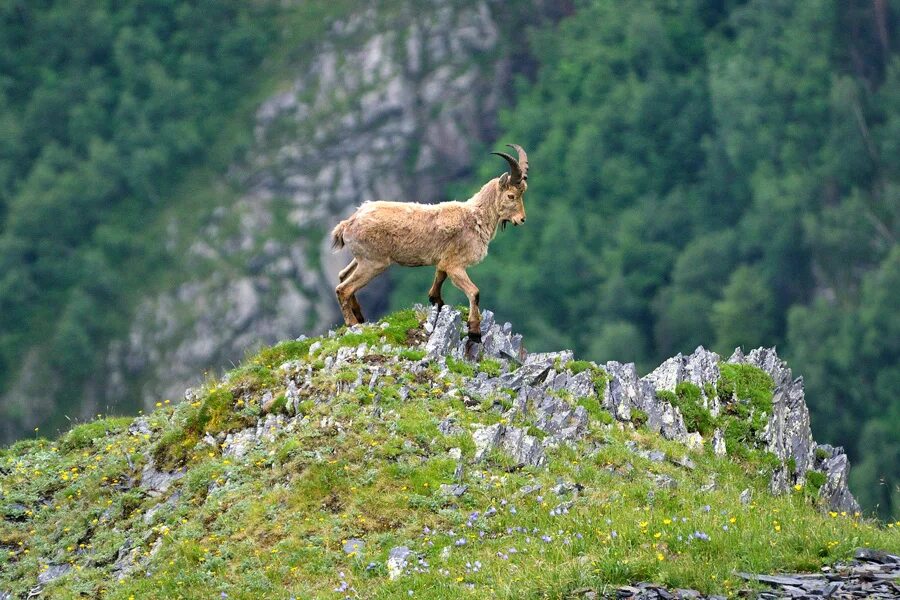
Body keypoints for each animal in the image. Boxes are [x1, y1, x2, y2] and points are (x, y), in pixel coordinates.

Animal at [330, 143, 528, 344]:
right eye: (511, 195)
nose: (521, 219)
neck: (476, 218)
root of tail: (348, 223)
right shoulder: (456, 265)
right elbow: (474, 292)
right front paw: (474, 331)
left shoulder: (444, 260)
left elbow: (439, 277)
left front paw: (436, 300)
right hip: (373, 262)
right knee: (343, 289)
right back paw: (352, 323)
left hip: (361, 259)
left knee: (342, 275)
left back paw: (359, 316)